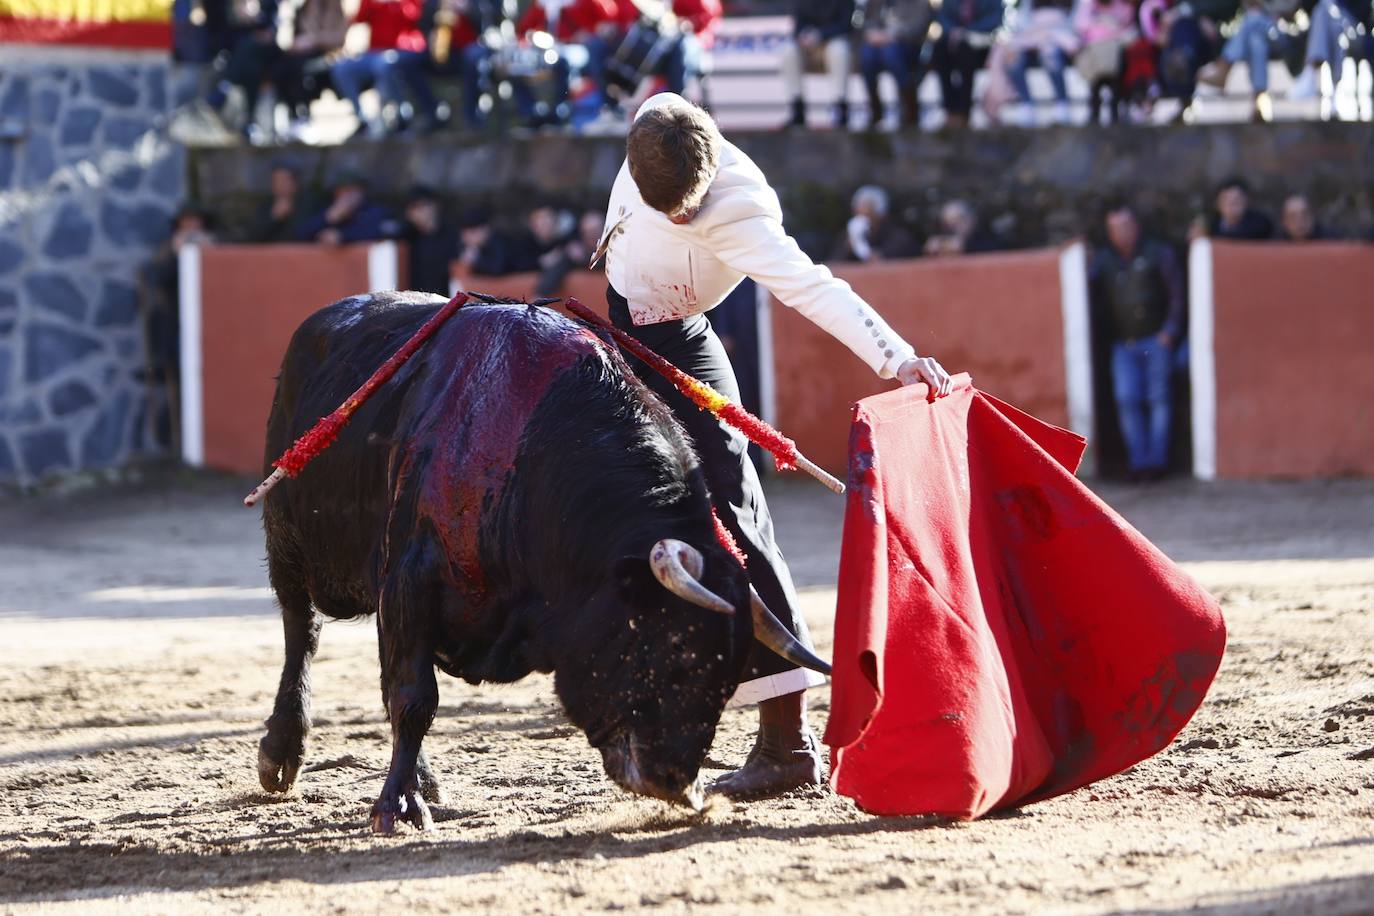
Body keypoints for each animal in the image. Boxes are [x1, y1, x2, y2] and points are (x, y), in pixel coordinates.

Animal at [256, 292, 824, 829]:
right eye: (674, 650)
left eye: (731, 680)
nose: (677, 782)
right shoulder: (409, 580)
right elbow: (414, 698)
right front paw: (396, 806)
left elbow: (403, 688)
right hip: (287, 540)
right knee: (301, 631)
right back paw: (281, 756)